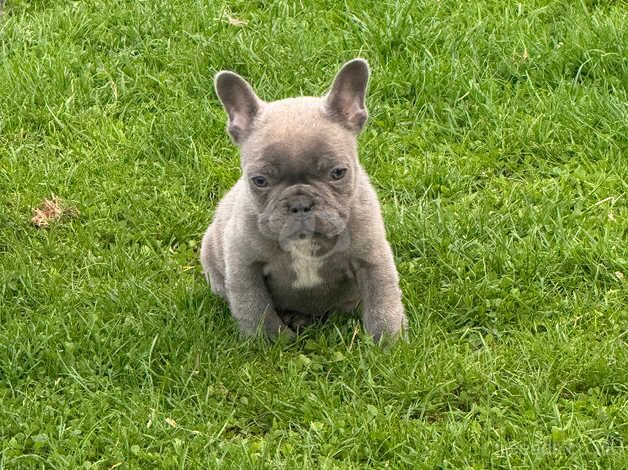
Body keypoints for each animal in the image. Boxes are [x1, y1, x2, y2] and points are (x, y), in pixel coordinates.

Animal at [200, 58, 408, 342]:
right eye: (259, 180)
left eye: (338, 173)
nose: (300, 204)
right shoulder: (244, 267)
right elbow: (254, 307)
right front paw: (269, 342)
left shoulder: (372, 258)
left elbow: (382, 301)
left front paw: (388, 341)